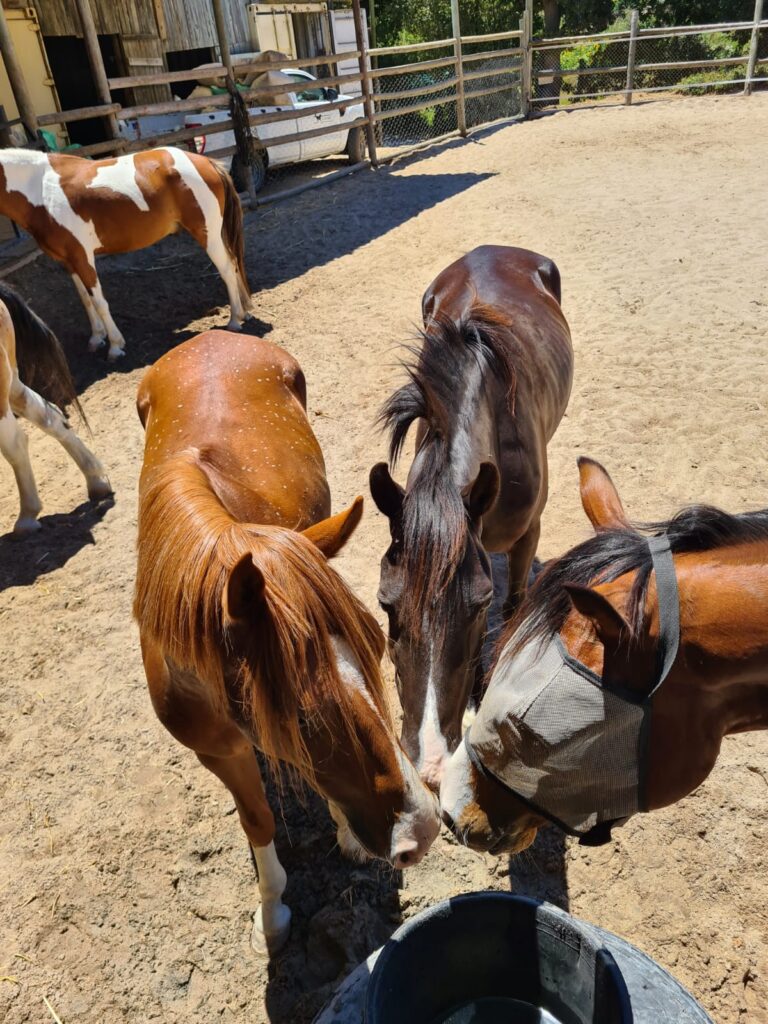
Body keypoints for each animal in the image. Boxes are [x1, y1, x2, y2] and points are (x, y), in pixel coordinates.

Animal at [0, 147, 252, 361]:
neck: (41, 189)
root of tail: (207, 162)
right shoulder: (68, 261)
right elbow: (85, 300)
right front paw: (96, 338)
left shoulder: (82, 257)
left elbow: (99, 301)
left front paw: (115, 345)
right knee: (233, 262)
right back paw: (245, 312)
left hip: (207, 232)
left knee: (226, 269)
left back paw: (234, 320)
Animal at [134, 331, 439, 956]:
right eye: (301, 711)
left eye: (376, 652)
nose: (421, 832)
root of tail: (211, 336)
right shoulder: (217, 751)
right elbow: (258, 821)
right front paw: (271, 913)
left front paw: (347, 835)